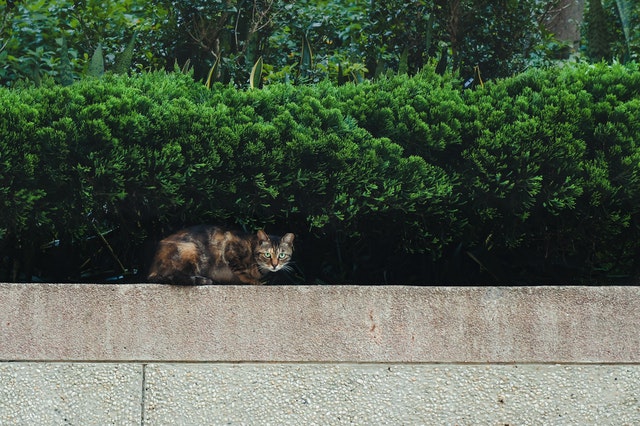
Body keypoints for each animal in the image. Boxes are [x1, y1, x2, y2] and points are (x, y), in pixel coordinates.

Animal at [148, 225, 296, 284]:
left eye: (282, 255)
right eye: (267, 254)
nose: (275, 265)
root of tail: (152, 270)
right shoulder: (230, 247)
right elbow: (240, 270)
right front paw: (253, 281)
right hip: (190, 248)